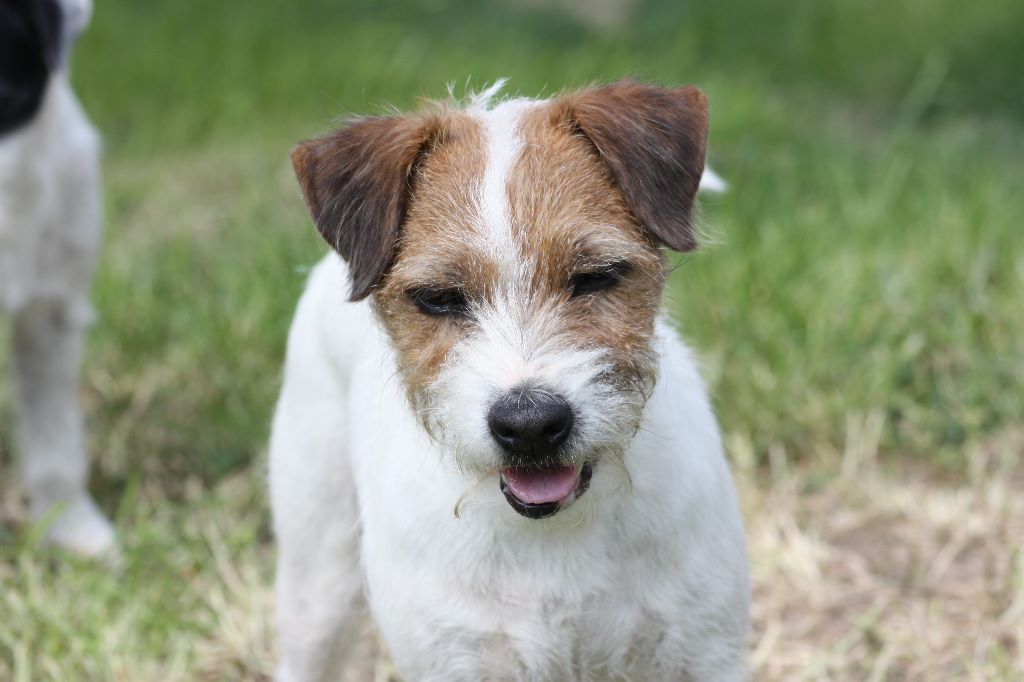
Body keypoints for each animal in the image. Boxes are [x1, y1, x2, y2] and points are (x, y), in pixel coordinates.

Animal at [270, 80, 753, 679]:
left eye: (595, 277)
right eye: (439, 298)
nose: (530, 425)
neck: (555, 533)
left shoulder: (701, 652)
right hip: (318, 583)